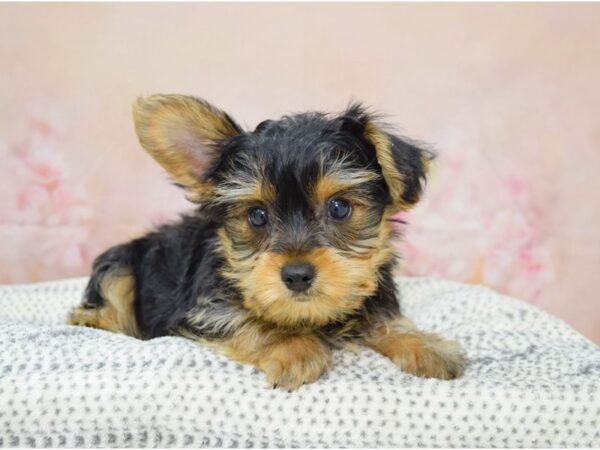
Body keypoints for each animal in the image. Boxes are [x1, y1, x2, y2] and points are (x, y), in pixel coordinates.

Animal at [68, 95, 466, 390]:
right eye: (257, 215)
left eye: (339, 208)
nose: (297, 275)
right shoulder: (207, 309)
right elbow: (249, 322)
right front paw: (293, 347)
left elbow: (385, 320)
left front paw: (425, 345)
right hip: (119, 264)